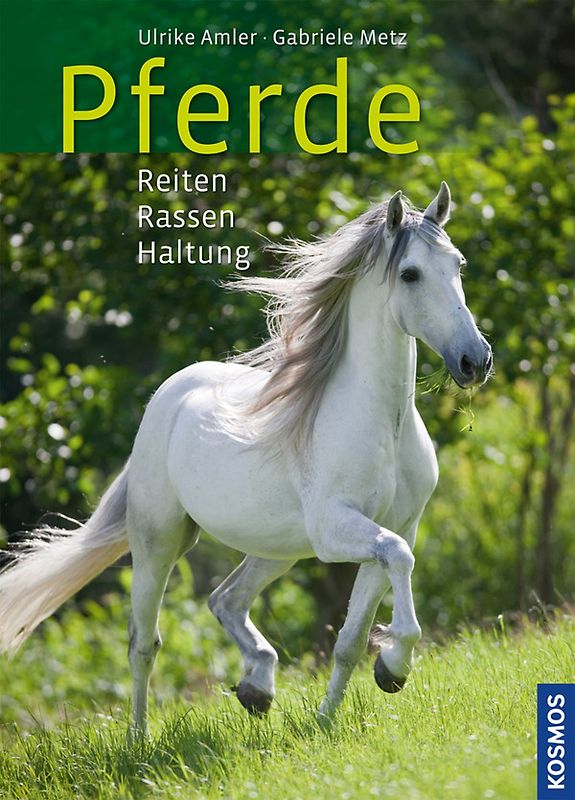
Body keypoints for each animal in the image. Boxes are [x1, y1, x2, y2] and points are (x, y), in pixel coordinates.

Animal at [0, 182, 492, 734]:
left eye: (457, 264)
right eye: (409, 274)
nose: (475, 361)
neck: (383, 423)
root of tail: (169, 395)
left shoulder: (397, 526)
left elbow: (351, 635)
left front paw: (351, 701)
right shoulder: (337, 529)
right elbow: (398, 561)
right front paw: (393, 665)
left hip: (277, 548)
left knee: (225, 599)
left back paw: (257, 687)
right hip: (158, 542)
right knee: (143, 644)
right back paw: (139, 740)